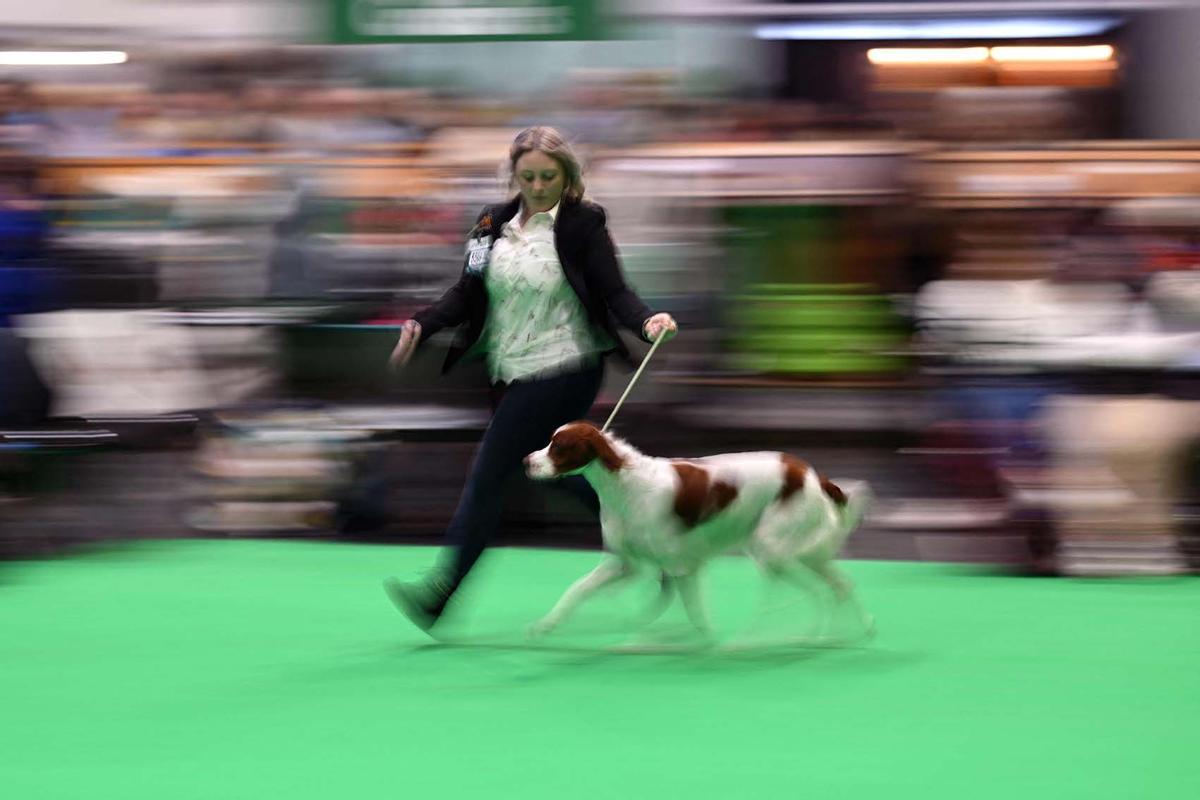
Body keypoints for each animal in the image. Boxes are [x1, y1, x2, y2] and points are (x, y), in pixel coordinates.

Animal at [525, 422, 873, 642]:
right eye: (549, 441)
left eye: (559, 447)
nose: (526, 460)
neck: (626, 484)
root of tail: (813, 476)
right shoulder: (625, 564)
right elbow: (577, 589)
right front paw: (547, 624)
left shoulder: (679, 564)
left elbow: (693, 610)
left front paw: (706, 641)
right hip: (802, 552)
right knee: (841, 585)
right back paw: (853, 631)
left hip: (771, 548)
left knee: (818, 591)